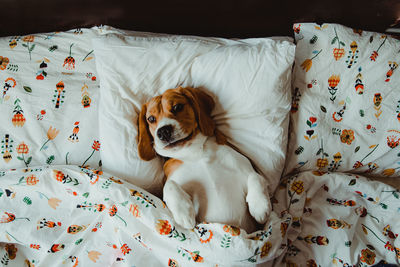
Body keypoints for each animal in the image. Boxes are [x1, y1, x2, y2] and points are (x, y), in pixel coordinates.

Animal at [138, 87, 272, 232]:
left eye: (177, 107)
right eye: (151, 119)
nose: (163, 131)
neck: (195, 153)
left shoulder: (243, 164)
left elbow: (256, 176)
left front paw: (259, 206)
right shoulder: (171, 180)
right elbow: (168, 186)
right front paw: (184, 213)